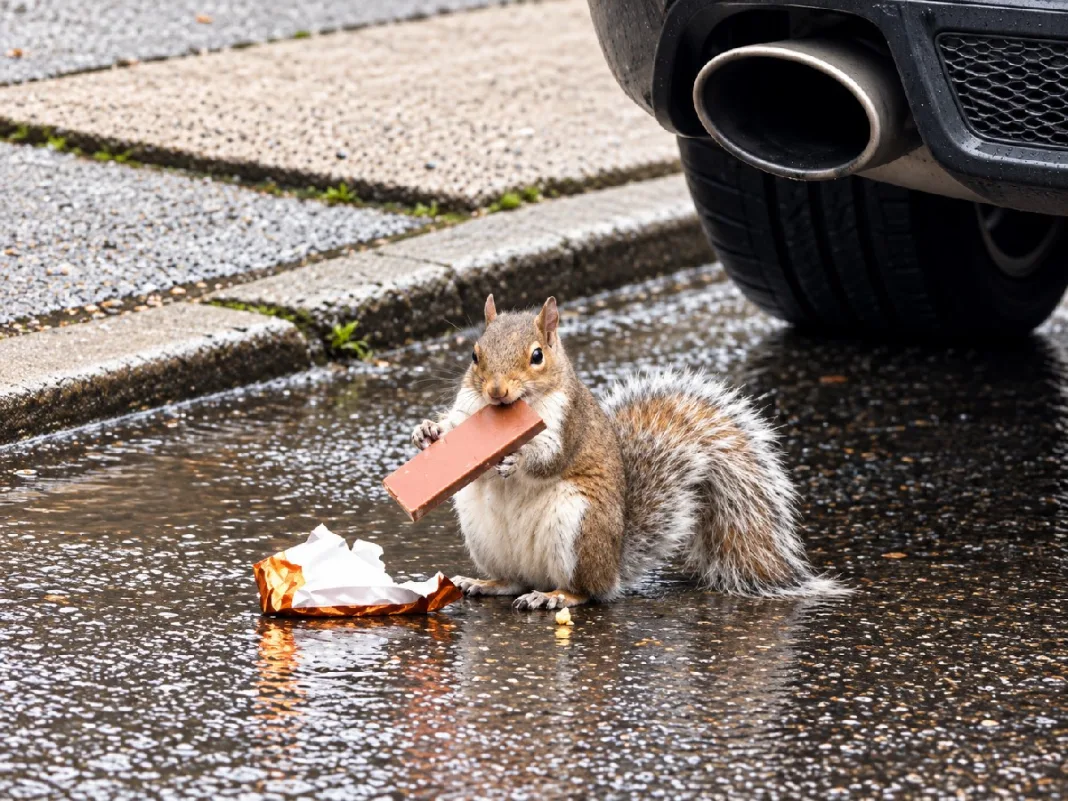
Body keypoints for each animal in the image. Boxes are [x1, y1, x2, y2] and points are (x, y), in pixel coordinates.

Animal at [412, 294, 847, 610]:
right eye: (474, 354)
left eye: (537, 356)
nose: (496, 391)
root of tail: (613, 570)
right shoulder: (468, 409)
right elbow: (455, 427)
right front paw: (428, 431)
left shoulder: (570, 425)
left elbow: (551, 459)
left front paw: (514, 459)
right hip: (484, 536)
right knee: (514, 580)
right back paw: (485, 583)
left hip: (579, 527)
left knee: (585, 591)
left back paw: (555, 596)